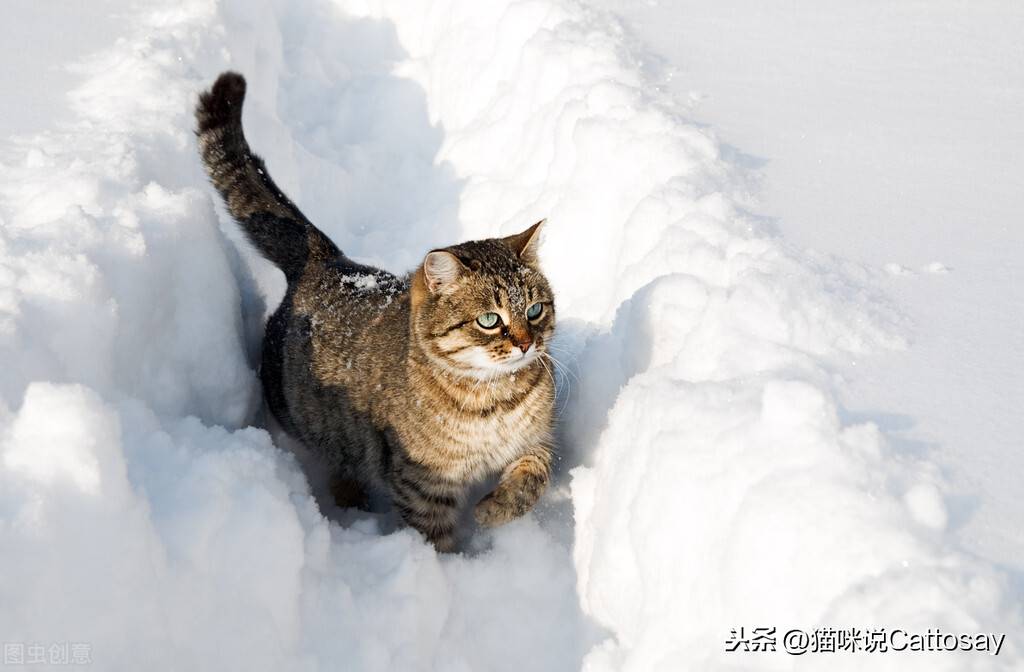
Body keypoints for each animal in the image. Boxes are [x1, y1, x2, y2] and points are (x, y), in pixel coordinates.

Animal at [196, 72, 557, 553]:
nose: (526, 343)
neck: (494, 398)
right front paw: (450, 564)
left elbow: (534, 475)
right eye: (489, 320)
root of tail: (326, 260)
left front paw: (495, 508)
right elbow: (433, 536)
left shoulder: (537, 440)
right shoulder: (422, 484)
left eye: (534, 310)